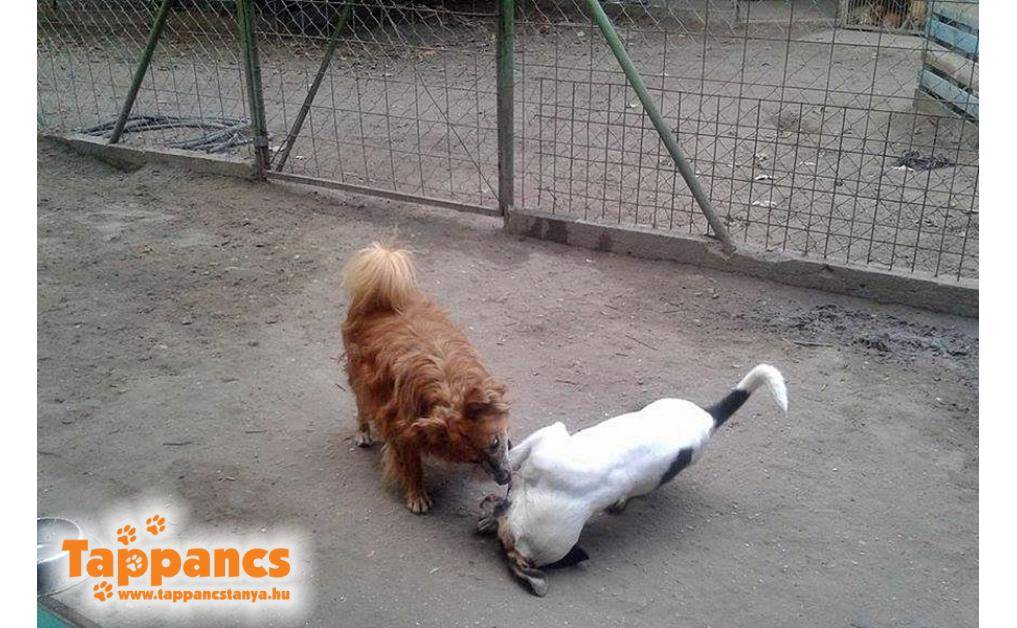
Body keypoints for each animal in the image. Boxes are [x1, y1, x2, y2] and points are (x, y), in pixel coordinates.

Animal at [341, 243, 512, 514]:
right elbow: (412, 466)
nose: (504, 479)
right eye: (475, 458)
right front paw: (417, 495)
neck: (449, 386)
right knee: (362, 405)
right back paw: (363, 432)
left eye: (494, 444)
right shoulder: (402, 430)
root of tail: (379, 300)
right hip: (361, 379)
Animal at [477, 364, 788, 596]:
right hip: (660, 407)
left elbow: (514, 461)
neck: (548, 495)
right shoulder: (546, 440)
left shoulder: (550, 438)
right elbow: (514, 457)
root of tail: (709, 417)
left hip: (657, 475)